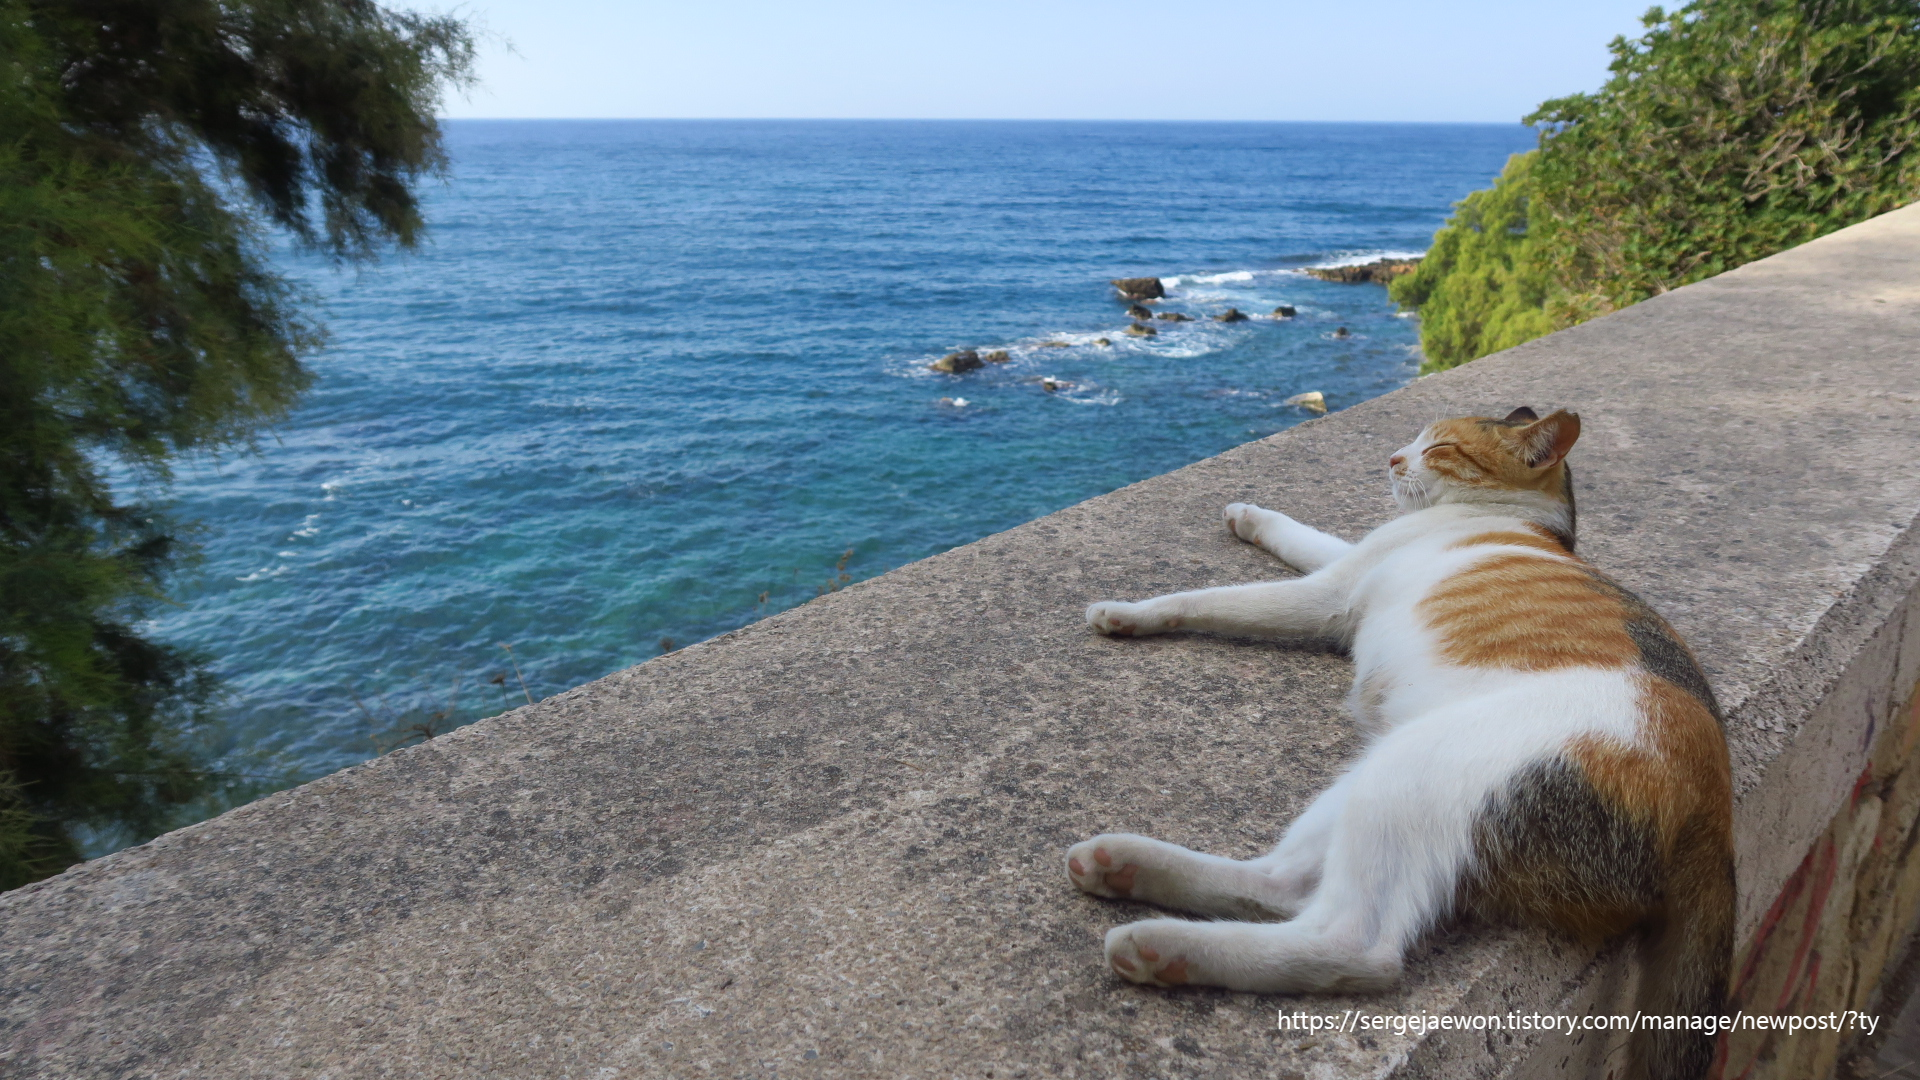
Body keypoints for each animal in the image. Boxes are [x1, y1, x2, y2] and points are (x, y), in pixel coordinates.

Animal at [1070, 407, 1733, 1080]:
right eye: (1416, 439)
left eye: (1437, 447)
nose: (1392, 458)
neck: (1519, 517)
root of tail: (1714, 818)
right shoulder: (1349, 564)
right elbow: (1307, 537)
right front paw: (1251, 517)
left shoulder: (1329, 594)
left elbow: (1217, 599)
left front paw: (1129, 611)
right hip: (1371, 775)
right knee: (1280, 884)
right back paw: (1125, 866)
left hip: (1418, 767)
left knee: (1354, 946)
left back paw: (1161, 947)